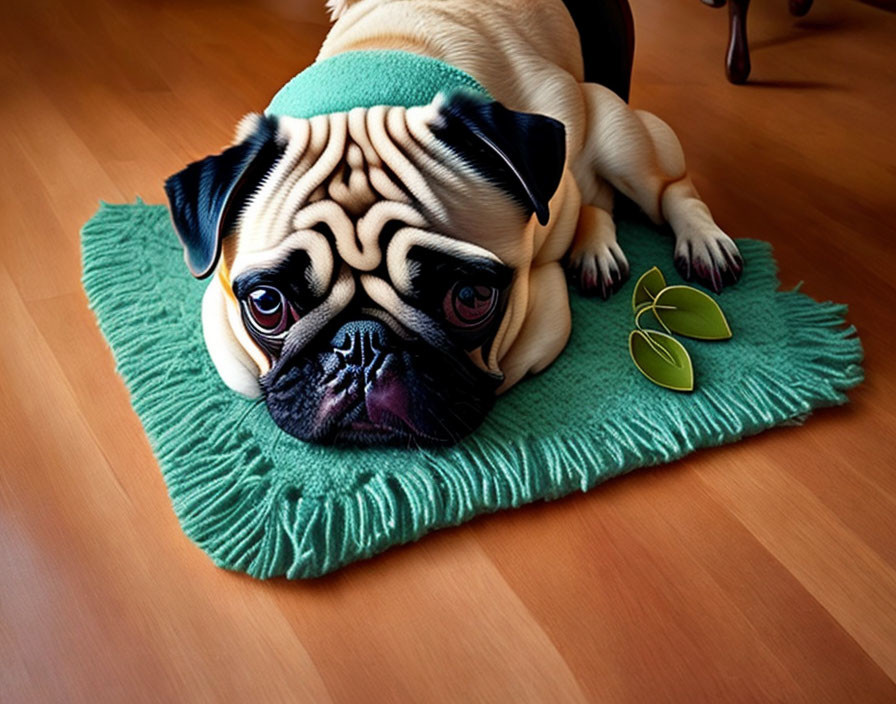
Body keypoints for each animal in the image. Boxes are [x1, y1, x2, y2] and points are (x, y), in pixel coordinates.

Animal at [166, 1, 744, 446]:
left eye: (470, 298)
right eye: (267, 306)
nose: (361, 344)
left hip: (618, 131)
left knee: (665, 187)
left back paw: (703, 242)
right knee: (596, 198)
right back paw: (596, 249)